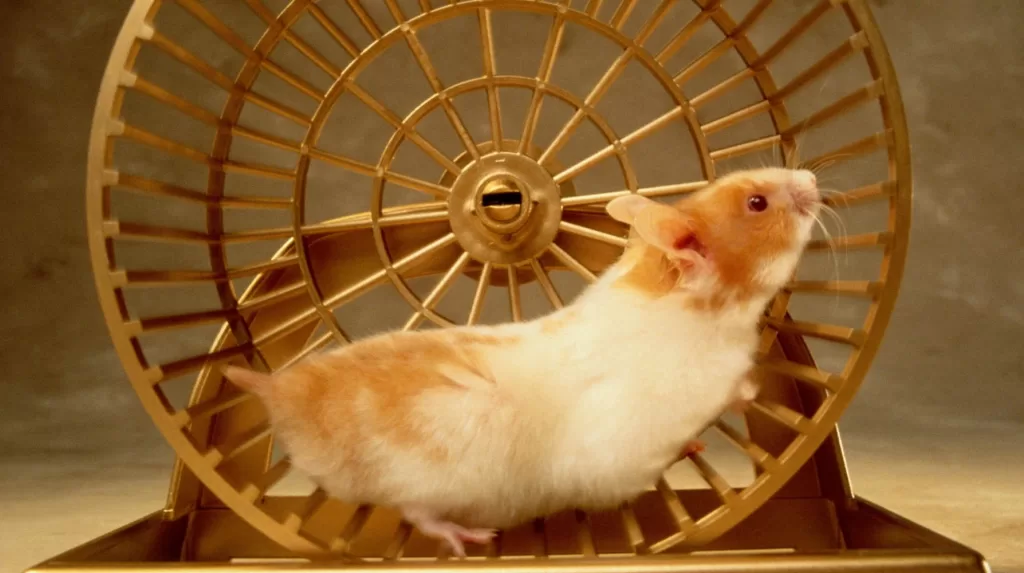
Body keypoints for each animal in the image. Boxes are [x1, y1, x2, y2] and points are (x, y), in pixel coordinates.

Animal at [223, 166, 820, 557]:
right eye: (758, 204)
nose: (812, 175)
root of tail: (280, 391)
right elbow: (712, 410)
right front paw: (739, 398)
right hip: (419, 484)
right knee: (417, 513)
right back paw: (468, 537)